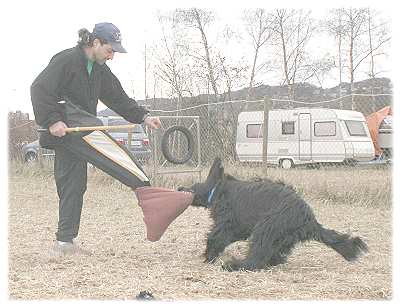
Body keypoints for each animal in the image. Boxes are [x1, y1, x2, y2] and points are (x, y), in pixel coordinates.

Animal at [180, 158, 368, 270]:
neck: (217, 190)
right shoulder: (239, 227)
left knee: (256, 259)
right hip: (280, 236)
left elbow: (215, 237)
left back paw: (235, 264)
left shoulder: (228, 224)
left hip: (267, 227)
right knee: (273, 255)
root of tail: (310, 221)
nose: (180, 188)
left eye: (192, 187)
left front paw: (209, 255)